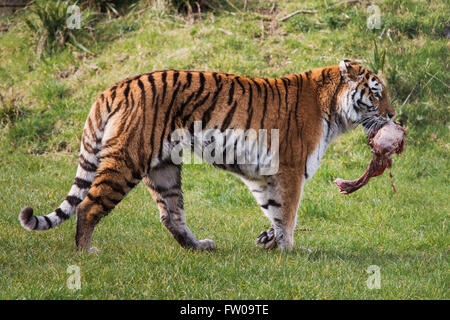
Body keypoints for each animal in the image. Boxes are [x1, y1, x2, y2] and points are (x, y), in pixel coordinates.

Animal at [19, 58, 396, 251]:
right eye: (376, 94)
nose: (394, 116)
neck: (333, 108)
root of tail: (115, 87)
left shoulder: (265, 176)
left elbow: (274, 211)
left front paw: (270, 241)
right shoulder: (289, 169)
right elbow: (288, 214)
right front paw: (291, 250)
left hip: (164, 168)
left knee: (170, 214)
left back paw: (198, 245)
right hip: (127, 161)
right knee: (87, 205)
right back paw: (86, 251)